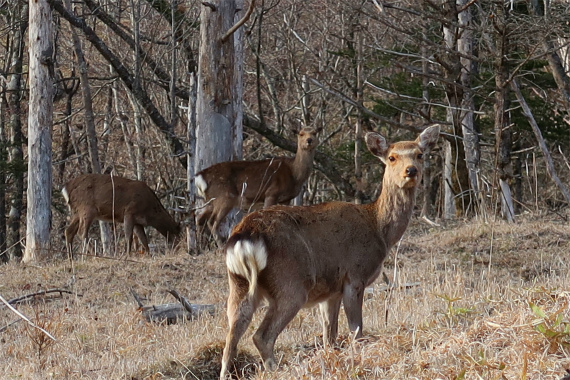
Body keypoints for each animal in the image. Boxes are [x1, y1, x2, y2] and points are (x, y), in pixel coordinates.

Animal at [217, 124, 440, 378]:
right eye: (392, 157)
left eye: (420, 154)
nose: (411, 171)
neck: (378, 228)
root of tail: (246, 234)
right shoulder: (355, 275)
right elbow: (356, 330)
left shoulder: (330, 291)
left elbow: (329, 337)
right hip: (290, 283)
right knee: (261, 336)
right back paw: (276, 369)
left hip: (238, 284)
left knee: (231, 339)